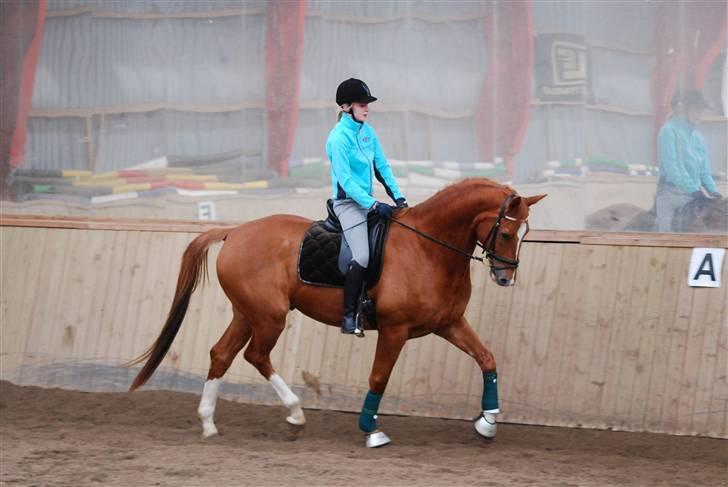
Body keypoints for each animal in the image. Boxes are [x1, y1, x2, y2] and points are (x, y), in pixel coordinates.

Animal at [126, 180, 544, 450]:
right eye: (507, 234)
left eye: (525, 234)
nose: (505, 277)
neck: (428, 250)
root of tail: (234, 232)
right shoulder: (395, 329)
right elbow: (379, 377)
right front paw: (370, 430)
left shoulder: (449, 323)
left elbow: (486, 358)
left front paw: (488, 422)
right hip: (269, 317)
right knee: (255, 356)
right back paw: (295, 415)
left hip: (247, 314)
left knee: (221, 355)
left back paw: (210, 424)